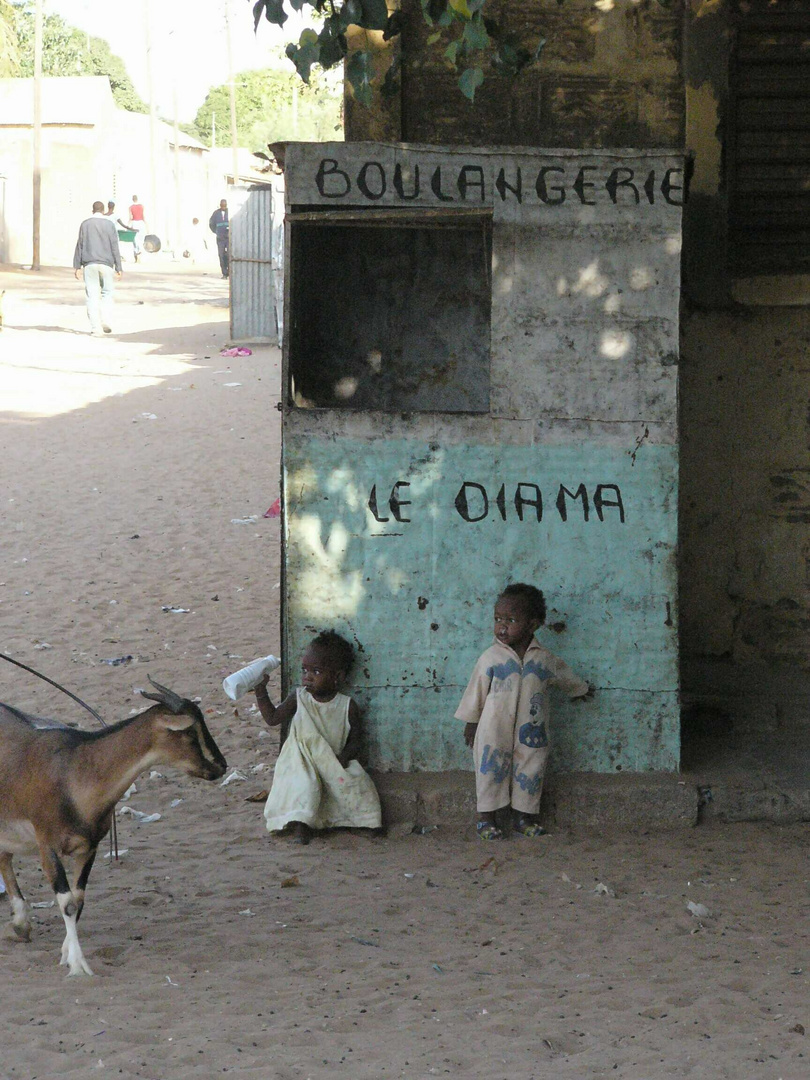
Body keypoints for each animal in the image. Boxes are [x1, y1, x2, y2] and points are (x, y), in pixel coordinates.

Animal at [0, 678, 226, 976]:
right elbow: (67, 903)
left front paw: (65, 953)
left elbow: (79, 900)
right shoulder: (46, 843)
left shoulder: (90, 847)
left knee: (4, 857)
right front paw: (78, 965)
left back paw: (20, 925)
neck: (74, 774)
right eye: (189, 732)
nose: (221, 766)